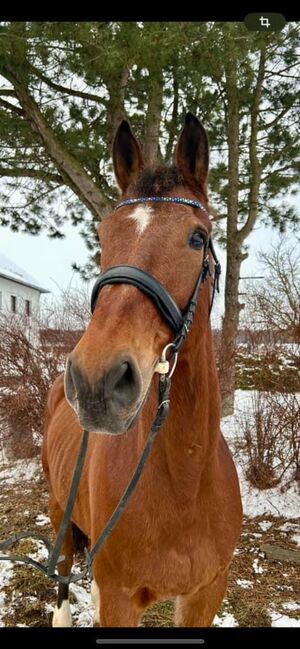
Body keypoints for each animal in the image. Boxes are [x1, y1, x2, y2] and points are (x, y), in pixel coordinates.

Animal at [42, 114, 243, 624]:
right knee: (64, 567)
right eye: (104, 236)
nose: (95, 381)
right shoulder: (120, 599)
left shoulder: (205, 594)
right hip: (57, 505)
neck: (185, 486)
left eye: (197, 237)